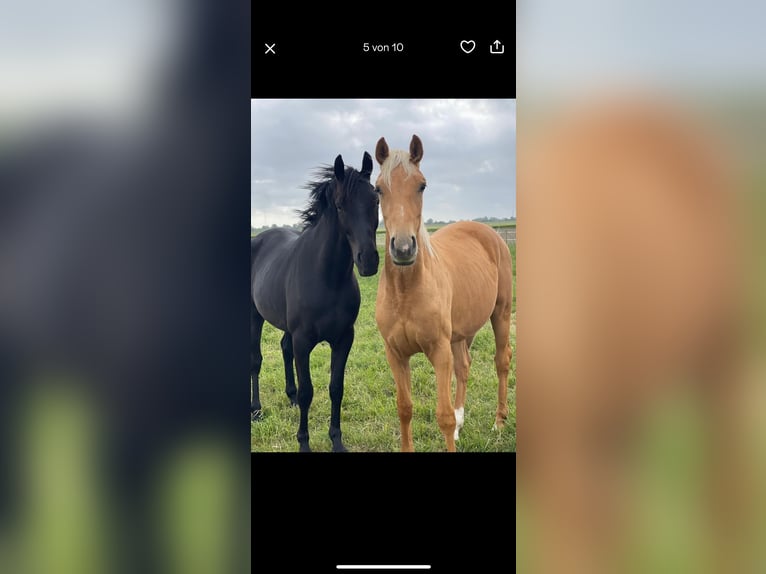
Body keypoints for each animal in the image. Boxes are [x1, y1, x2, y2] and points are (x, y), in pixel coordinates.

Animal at [250, 152, 380, 452]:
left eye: (376, 200)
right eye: (340, 206)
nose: (368, 260)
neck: (327, 278)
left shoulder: (344, 339)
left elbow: (336, 388)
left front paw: (337, 441)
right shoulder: (303, 341)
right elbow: (309, 391)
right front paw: (304, 443)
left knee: (283, 348)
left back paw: (290, 397)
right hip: (254, 316)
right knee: (256, 360)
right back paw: (257, 410)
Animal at [373, 135, 514, 452]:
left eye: (421, 185)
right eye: (378, 189)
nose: (403, 248)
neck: (405, 293)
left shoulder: (439, 351)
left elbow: (444, 416)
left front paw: (454, 424)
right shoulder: (395, 354)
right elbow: (405, 409)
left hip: (501, 314)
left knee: (501, 361)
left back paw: (499, 421)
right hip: (460, 334)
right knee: (464, 366)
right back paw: (464, 423)